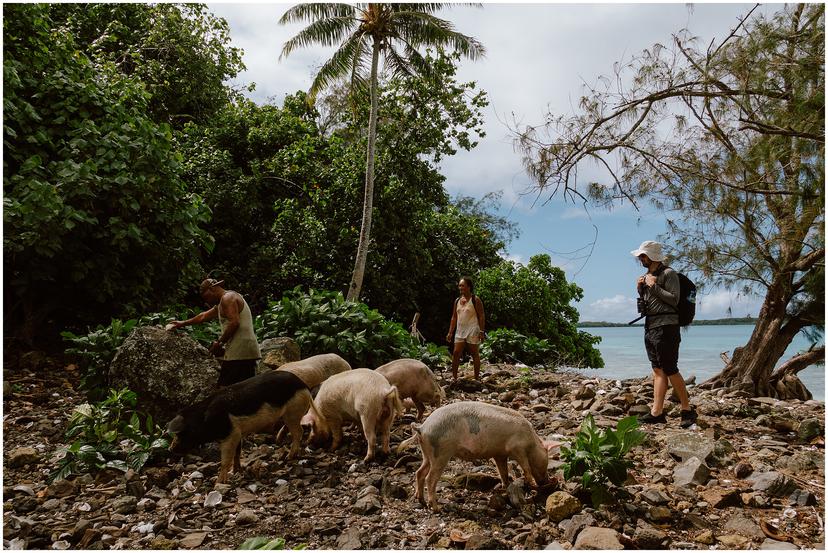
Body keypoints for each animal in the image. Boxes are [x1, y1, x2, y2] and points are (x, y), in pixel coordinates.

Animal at [398, 398, 560, 512]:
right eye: (546, 462)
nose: (547, 481)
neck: (531, 442)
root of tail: (422, 428)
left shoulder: (499, 454)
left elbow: (503, 471)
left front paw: (505, 486)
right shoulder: (516, 448)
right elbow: (525, 466)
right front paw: (530, 483)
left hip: (427, 453)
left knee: (420, 472)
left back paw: (420, 500)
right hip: (441, 453)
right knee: (430, 478)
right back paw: (436, 508)